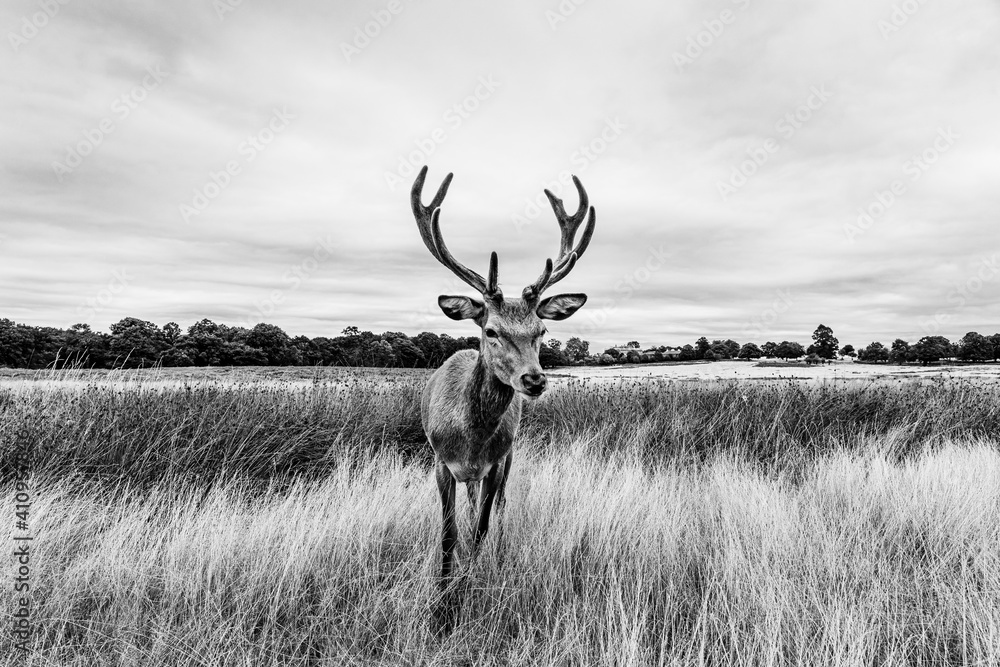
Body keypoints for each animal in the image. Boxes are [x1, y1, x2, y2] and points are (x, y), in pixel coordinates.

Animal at [410, 165, 596, 632]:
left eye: (541, 330)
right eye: (491, 330)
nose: (535, 379)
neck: (470, 440)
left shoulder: (495, 463)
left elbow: (480, 529)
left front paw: (466, 590)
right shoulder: (440, 462)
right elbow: (448, 534)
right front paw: (441, 604)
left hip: (509, 459)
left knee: (496, 510)